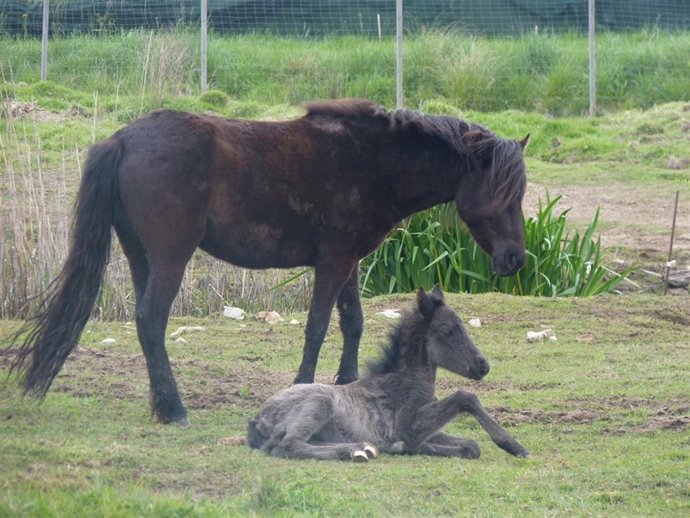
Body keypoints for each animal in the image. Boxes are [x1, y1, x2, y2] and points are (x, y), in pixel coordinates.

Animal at [7, 99, 528, 425]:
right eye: (505, 193)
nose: (515, 259)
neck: (372, 162)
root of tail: (123, 140)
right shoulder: (332, 263)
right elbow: (318, 327)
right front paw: (303, 388)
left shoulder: (348, 262)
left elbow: (353, 323)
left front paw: (349, 384)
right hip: (171, 256)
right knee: (151, 320)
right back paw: (175, 409)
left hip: (141, 257)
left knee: (143, 324)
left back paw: (160, 403)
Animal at [248, 286, 528, 461]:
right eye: (447, 329)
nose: (483, 365)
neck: (403, 384)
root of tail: (257, 419)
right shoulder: (409, 427)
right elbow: (465, 398)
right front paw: (515, 446)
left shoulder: (430, 429)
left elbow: (471, 445)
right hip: (320, 403)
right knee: (288, 445)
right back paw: (355, 453)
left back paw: (363, 448)